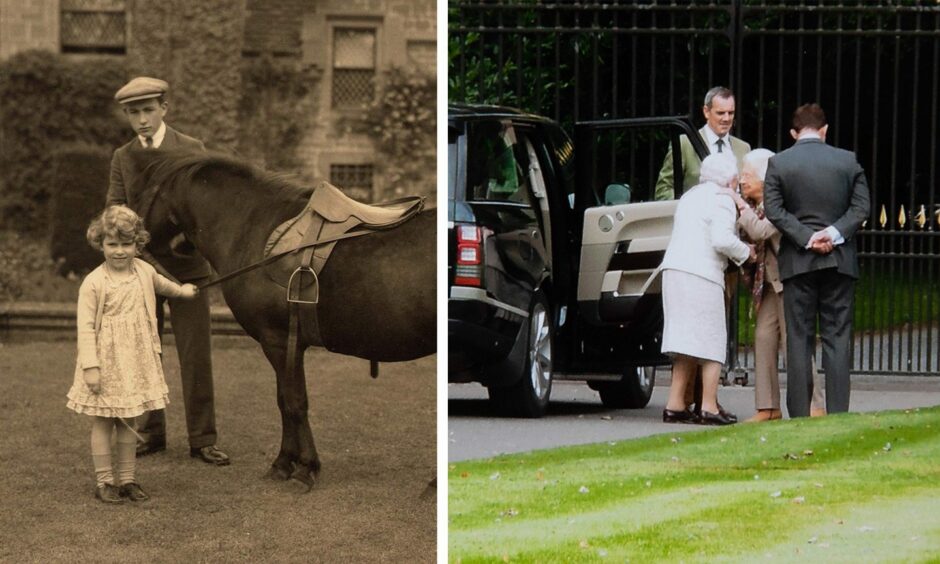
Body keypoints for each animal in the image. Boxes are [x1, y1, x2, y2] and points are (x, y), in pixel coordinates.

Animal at [130, 152, 436, 492]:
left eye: (141, 196)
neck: (252, 228)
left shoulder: (278, 340)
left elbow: (294, 402)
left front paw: (306, 468)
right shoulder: (283, 344)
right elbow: (283, 401)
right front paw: (284, 462)